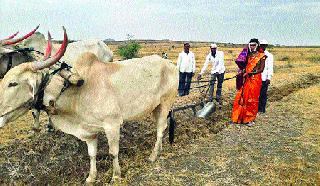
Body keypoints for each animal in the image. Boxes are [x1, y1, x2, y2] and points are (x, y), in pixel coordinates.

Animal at [0, 27, 178, 183]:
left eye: (13, 83)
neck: (73, 92)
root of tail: (169, 63)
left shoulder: (112, 124)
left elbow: (113, 152)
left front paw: (116, 176)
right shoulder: (89, 131)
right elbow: (92, 154)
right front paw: (91, 177)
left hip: (166, 103)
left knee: (160, 129)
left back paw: (153, 156)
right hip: (156, 108)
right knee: (161, 127)